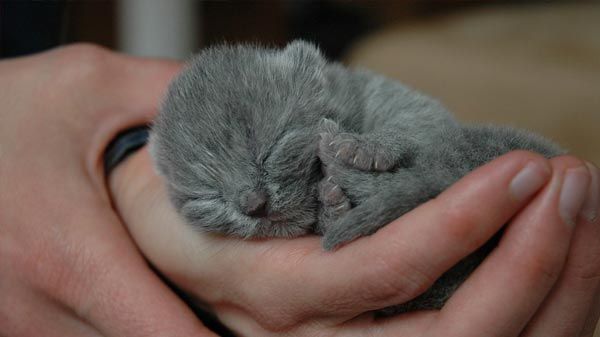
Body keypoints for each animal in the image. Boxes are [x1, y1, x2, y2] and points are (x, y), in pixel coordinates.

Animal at [150, 40, 564, 314]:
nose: (252, 204)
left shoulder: (408, 104)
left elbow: (414, 123)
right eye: (207, 197)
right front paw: (332, 205)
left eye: (269, 149)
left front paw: (365, 147)